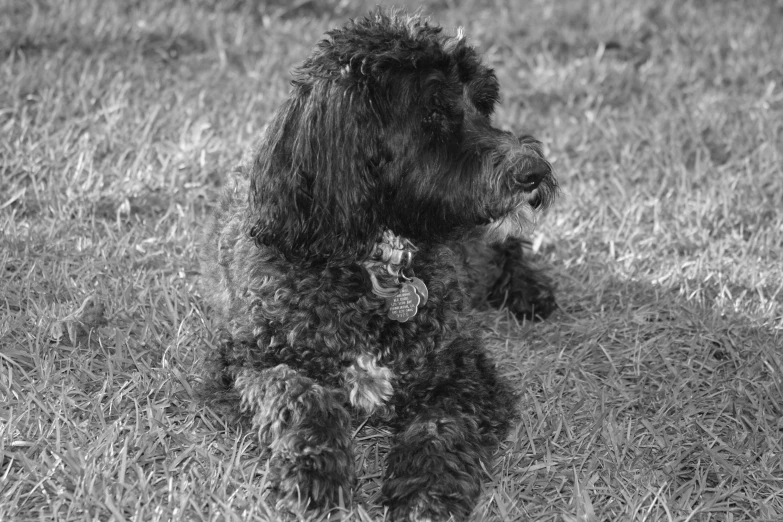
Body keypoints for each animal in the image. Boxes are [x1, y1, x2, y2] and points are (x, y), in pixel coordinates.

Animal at [199, 9, 560, 520]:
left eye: (483, 103)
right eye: (432, 112)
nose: (534, 170)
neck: (377, 265)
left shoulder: (463, 371)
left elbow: (442, 427)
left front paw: (425, 492)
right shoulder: (247, 360)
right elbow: (298, 394)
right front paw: (312, 471)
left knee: (504, 246)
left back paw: (528, 290)